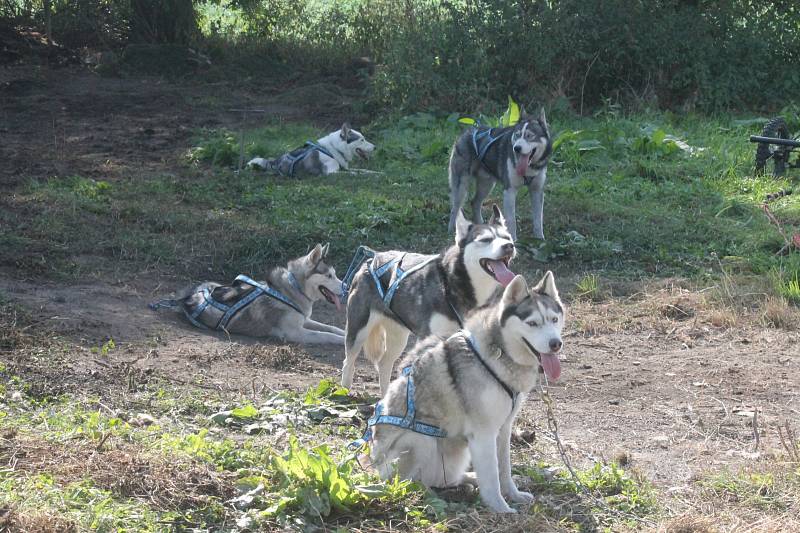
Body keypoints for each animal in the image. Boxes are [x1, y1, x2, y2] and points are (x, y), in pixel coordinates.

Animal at [180, 243, 346, 342]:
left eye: (334, 274)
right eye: (329, 276)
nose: (346, 287)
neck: (293, 288)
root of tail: (191, 294)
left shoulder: (304, 320)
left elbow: (330, 328)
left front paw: (344, 333)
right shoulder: (294, 332)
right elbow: (325, 334)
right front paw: (343, 340)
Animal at [247, 122, 376, 177]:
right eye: (362, 140)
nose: (375, 147)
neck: (333, 150)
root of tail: (275, 161)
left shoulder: (344, 168)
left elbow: (364, 170)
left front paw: (377, 173)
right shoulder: (330, 173)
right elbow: (356, 173)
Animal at [340, 206, 516, 392]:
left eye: (507, 238)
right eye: (486, 239)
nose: (509, 246)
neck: (451, 284)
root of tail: (370, 259)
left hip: (398, 336)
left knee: (384, 364)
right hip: (358, 329)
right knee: (348, 361)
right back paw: (345, 390)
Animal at [368, 272, 564, 512]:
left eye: (554, 320)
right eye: (532, 323)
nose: (555, 344)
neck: (499, 353)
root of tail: (376, 468)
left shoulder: (504, 428)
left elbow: (504, 470)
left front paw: (514, 494)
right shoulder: (483, 434)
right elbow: (492, 477)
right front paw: (501, 508)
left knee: (446, 478)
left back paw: (468, 480)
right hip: (421, 441)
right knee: (412, 482)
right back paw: (433, 493)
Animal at [446, 107, 552, 239]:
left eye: (529, 136)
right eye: (517, 135)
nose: (516, 148)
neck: (529, 168)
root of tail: (467, 131)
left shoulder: (537, 191)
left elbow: (538, 218)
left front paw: (539, 238)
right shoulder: (509, 190)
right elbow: (511, 220)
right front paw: (513, 239)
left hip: (487, 185)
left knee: (475, 202)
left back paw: (482, 226)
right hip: (461, 186)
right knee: (455, 207)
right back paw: (452, 229)